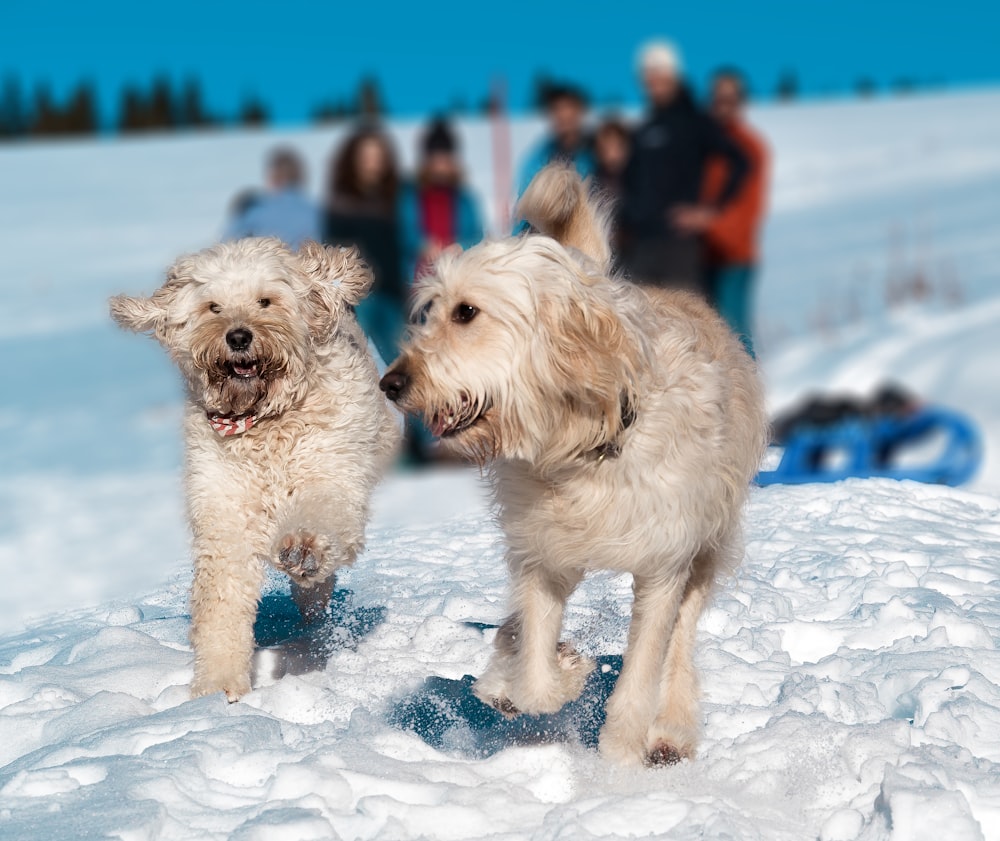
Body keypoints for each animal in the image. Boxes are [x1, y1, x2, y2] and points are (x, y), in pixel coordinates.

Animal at [112, 238, 398, 704]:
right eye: (213, 307)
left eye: (266, 300)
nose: (239, 336)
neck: (264, 422)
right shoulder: (222, 511)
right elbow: (221, 604)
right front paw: (216, 688)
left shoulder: (331, 476)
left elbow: (322, 512)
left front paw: (302, 547)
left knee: (317, 585)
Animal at [380, 167, 764, 764]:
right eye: (431, 310)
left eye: (466, 312)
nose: (391, 383)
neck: (584, 450)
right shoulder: (543, 555)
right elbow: (535, 677)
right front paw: (562, 670)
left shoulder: (665, 565)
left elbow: (642, 670)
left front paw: (618, 758)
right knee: (515, 632)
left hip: (710, 543)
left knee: (681, 641)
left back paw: (672, 728)